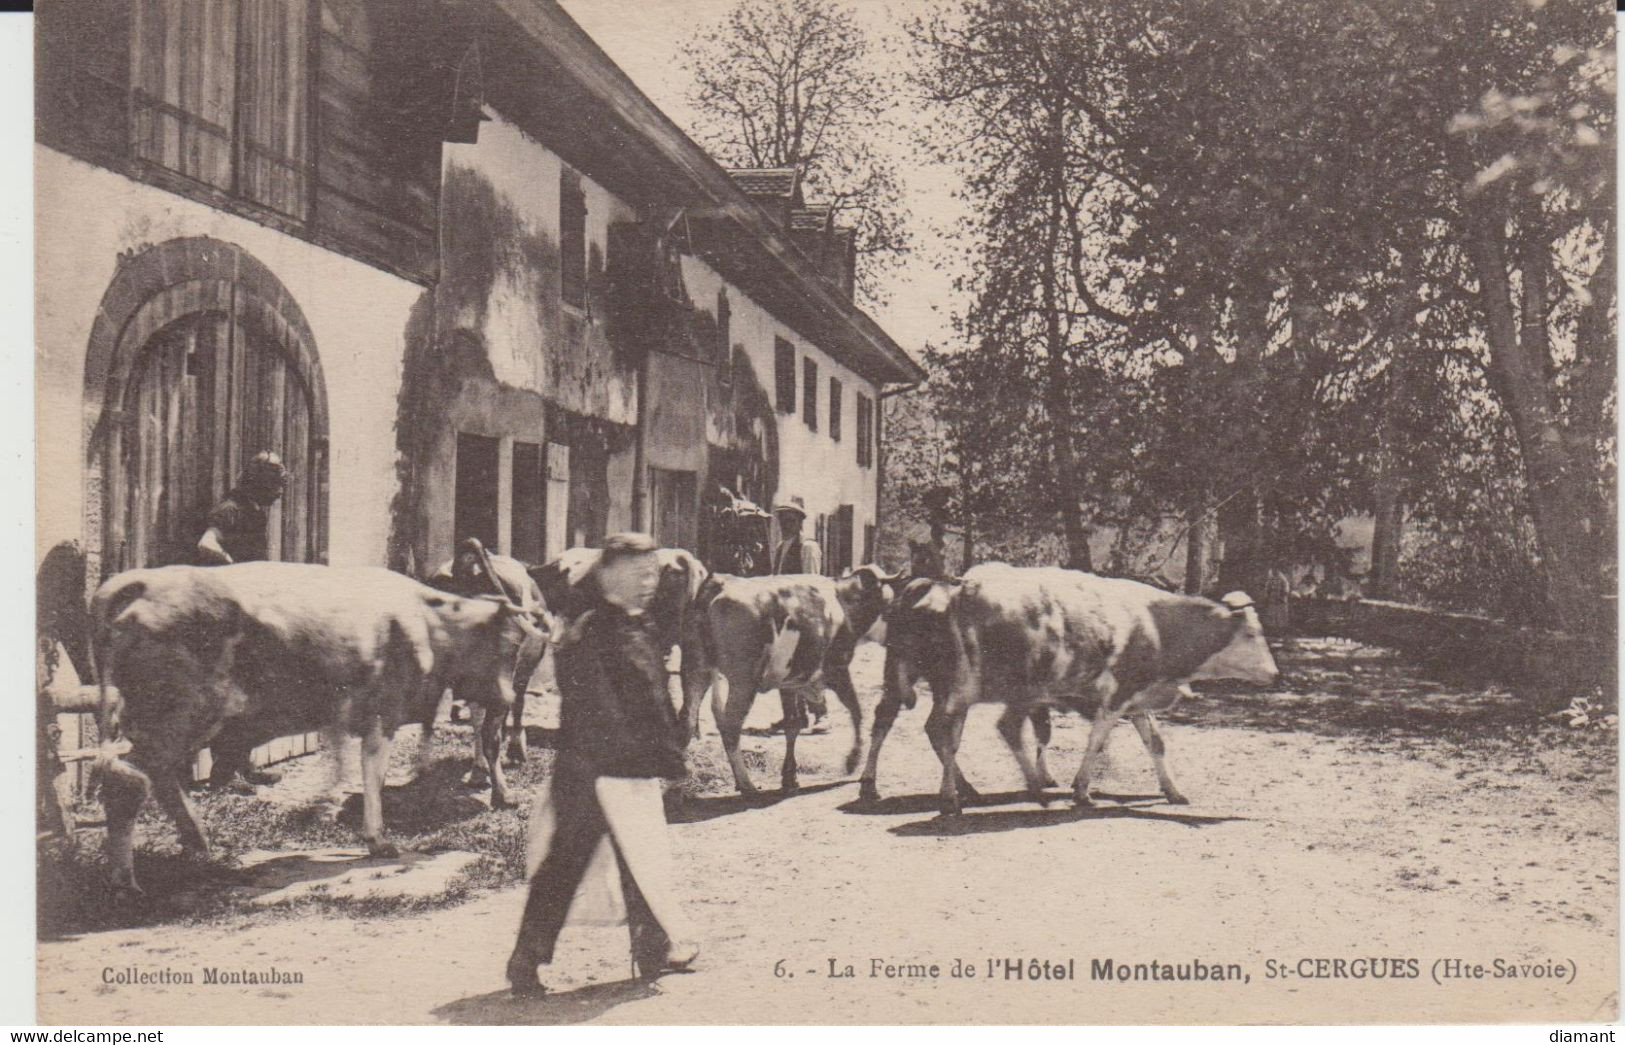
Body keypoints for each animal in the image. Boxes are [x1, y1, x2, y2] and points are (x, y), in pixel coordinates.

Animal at [88, 565, 542, 890]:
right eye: (509, 644)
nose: (508, 697)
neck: (428, 621)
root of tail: (140, 581)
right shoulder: (383, 712)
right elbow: (372, 774)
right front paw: (377, 839)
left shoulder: (340, 714)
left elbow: (340, 767)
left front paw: (327, 811)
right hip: (176, 717)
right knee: (129, 780)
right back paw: (126, 880)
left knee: (159, 779)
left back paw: (198, 844)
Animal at [695, 568, 910, 796]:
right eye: (889, 602)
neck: (843, 599)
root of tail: (721, 583)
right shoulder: (837, 669)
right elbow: (856, 711)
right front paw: (853, 760)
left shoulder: (790, 682)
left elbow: (793, 725)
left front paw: (789, 776)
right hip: (743, 683)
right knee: (731, 727)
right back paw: (747, 784)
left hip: (698, 671)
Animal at [871, 565, 1274, 819]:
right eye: (1252, 633)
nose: (1275, 672)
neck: (1155, 624)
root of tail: (952, 586)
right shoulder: (1115, 696)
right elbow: (1096, 741)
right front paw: (1081, 791)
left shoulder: (1137, 694)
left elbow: (1156, 744)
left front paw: (1173, 790)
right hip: (963, 688)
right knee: (946, 733)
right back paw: (950, 797)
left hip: (929, 682)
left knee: (921, 727)